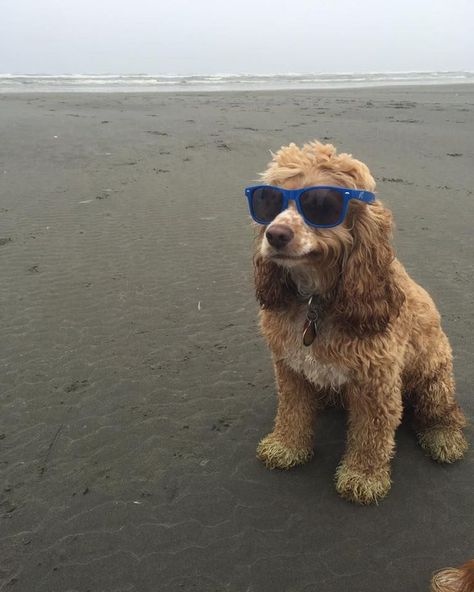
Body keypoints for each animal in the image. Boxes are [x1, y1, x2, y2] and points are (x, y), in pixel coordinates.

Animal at [248, 140, 470, 504]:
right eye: (268, 201)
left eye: (321, 205)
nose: (275, 234)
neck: (317, 302)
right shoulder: (291, 368)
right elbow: (293, 410)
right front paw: (286, 446)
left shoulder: (376, 385)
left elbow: (371, 435)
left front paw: (363, 477)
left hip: (434, 379)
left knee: (445, 412)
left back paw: (444, 438)